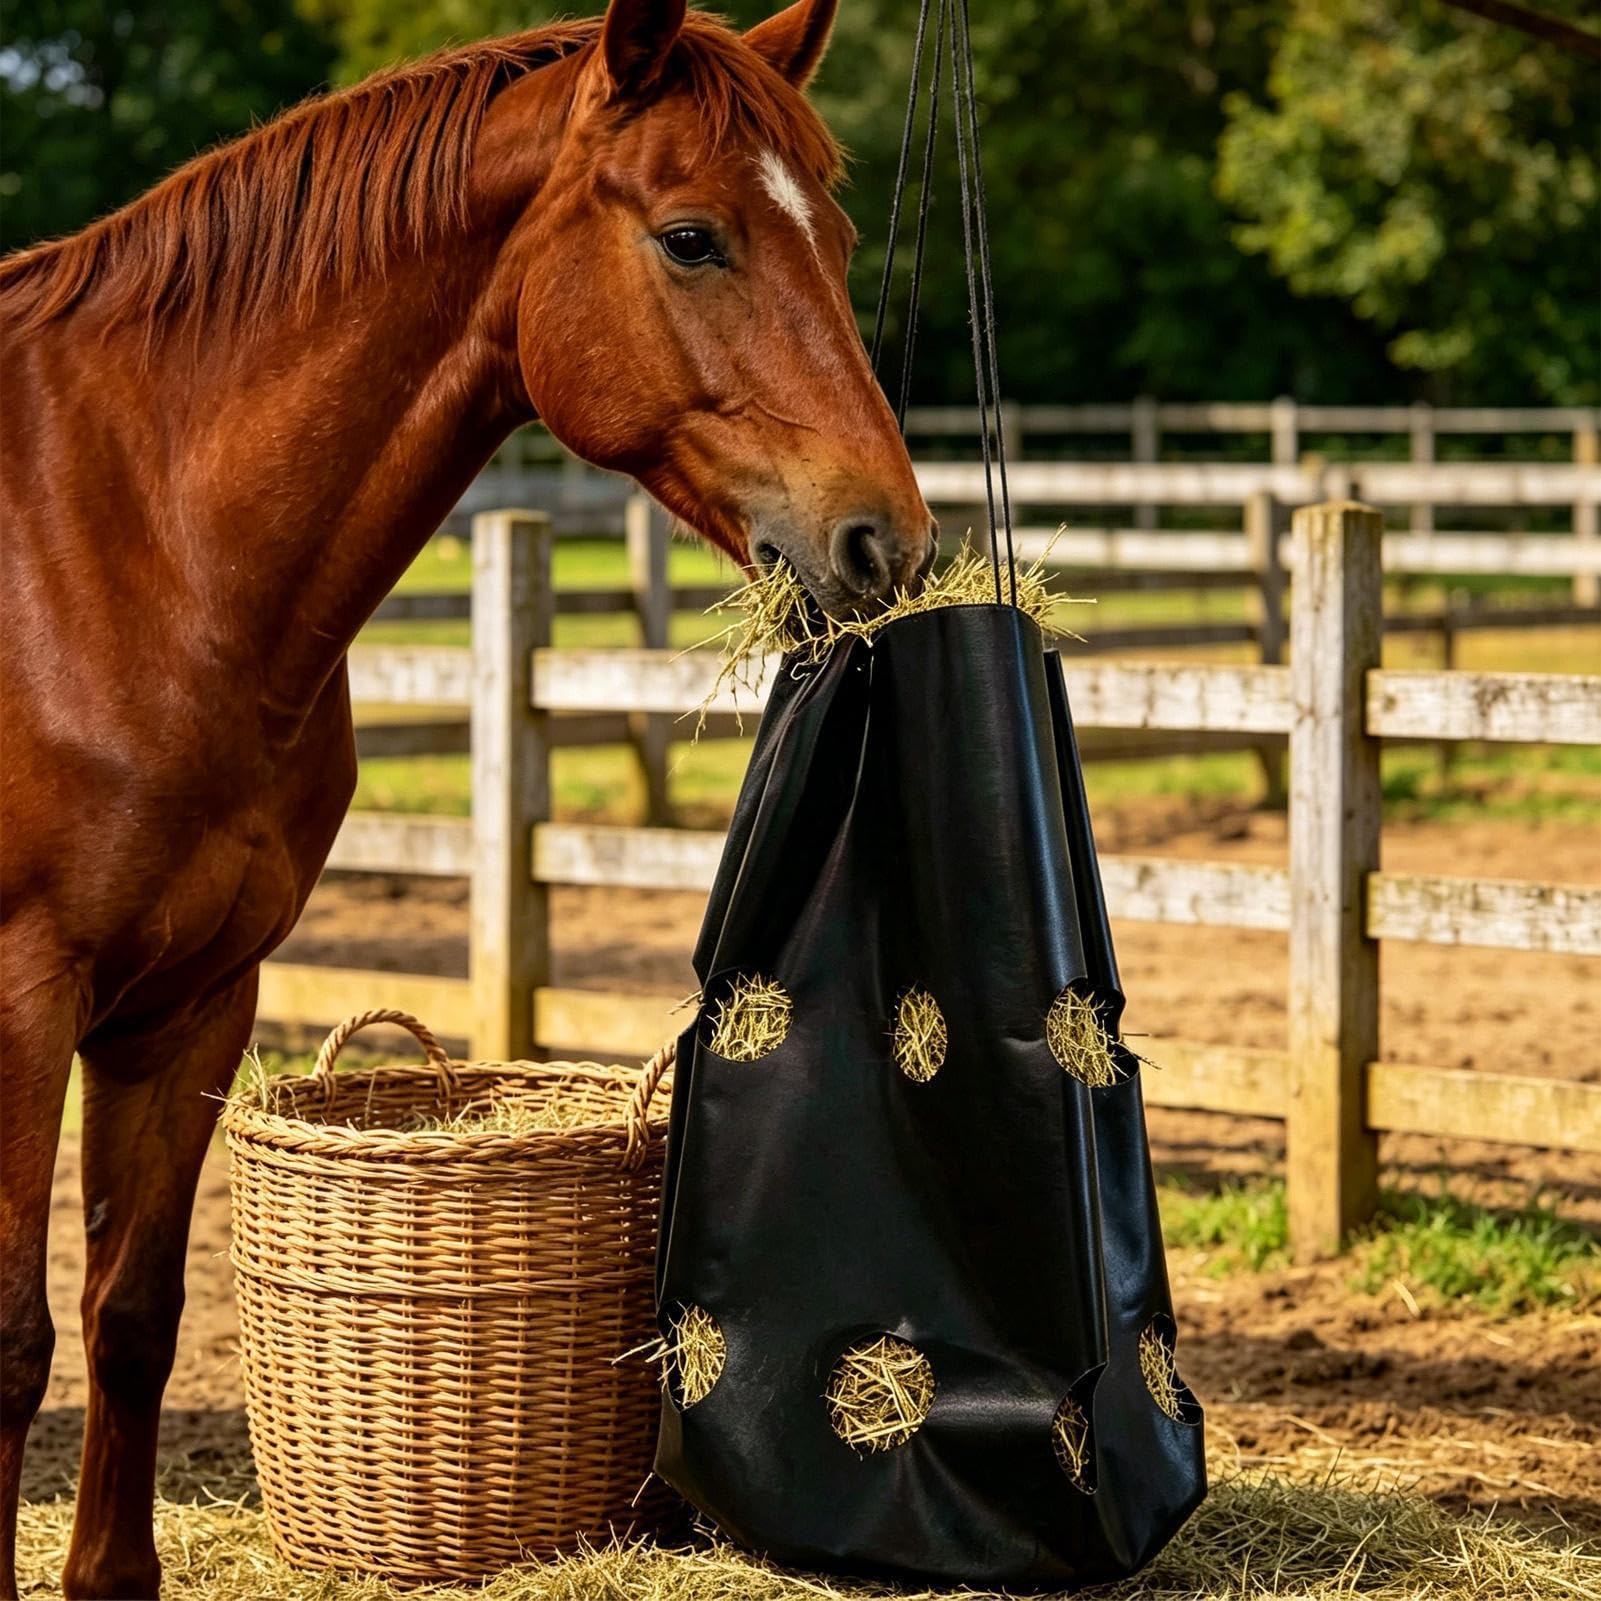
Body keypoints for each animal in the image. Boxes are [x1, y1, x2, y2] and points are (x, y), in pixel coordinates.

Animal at [0, 0, 933, 1591]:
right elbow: (10, 1343)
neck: (121, 540)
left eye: (837, 230)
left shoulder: (193, 1003)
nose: (888, 540)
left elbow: (129, 1316)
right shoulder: (20, 998)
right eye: (692, 237)